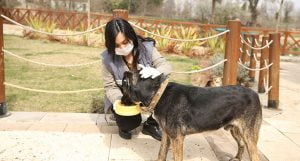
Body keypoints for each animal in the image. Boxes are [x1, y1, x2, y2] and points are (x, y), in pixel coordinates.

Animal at [120, 71, 262, 161]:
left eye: (124, 88)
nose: (120, 101)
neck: (159, 94)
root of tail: (255, 94)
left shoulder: (177, 139)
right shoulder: (166, 136)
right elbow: (161, 155)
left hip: (249, 136)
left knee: (254, 156)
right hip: (236, 131)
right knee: (241, 145)